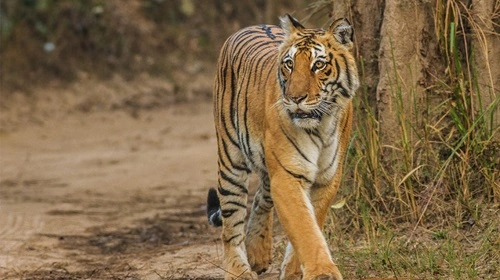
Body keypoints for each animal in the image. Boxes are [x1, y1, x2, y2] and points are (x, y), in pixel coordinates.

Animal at [205, 14, 358, 280]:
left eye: (318, 65)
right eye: (289, 64)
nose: (295, 98)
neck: (320, 125)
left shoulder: (327, 178)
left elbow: (312, 222)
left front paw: (295, 271)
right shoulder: (287, 176)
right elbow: (304, 227)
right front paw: (322, 273)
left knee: (261, 197)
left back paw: (258, 253)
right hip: (230, 159)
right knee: (231, 224)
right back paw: (239, 270)